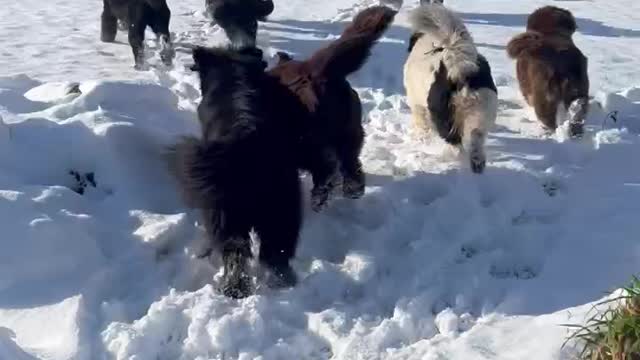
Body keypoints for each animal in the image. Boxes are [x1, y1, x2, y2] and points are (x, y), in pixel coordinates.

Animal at [165, 45, 304, 298]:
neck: (234, 71)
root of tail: (248, 143)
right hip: (282, 211)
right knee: (275, 253)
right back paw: (281, 284)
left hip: (224, 213)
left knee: (235, 251)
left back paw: (233, 288)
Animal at [268, 5, 398, 211]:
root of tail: (315, 70)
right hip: (349, 132)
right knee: (350, 165)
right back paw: (351, 190)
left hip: (305, 142)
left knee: (326, 168)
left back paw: (320, 197)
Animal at [402, 3, 498, 173]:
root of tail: (460, 69)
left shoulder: (417, 104)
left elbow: (422, 124)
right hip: (483, 111)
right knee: (477, 137)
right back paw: (477, 163)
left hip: (444, 116)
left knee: (455, 143)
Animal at [508, 5, 588, 138]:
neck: (550, 31)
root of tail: (561, 64)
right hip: (578, 88)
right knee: (579, 110)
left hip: (544, 96)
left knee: (548, 119)